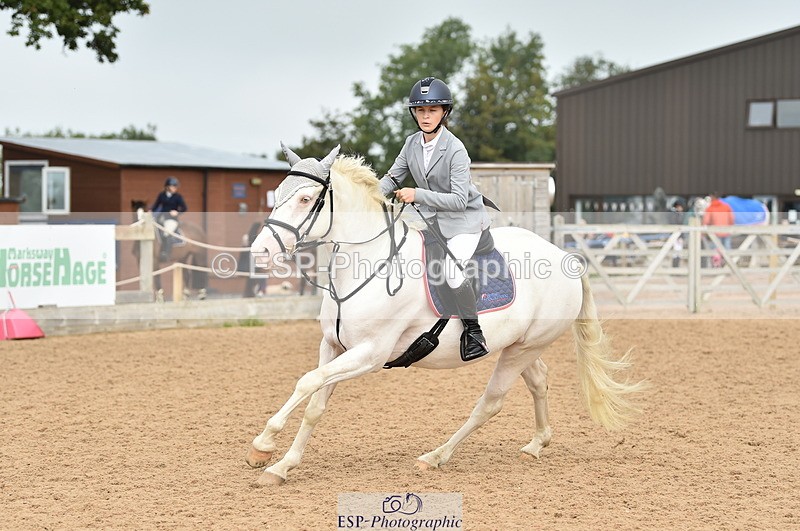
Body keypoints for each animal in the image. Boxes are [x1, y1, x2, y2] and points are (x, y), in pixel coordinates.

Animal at [246, 145, 647, 486]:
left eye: (305, 199)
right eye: (278, 192)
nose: (260, 251)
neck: (369, 263)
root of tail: (566, 258)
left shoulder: (370, 354)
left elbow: (307, 382)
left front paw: (263, 445)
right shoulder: (333, 346)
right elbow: (314, 402)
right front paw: (281, 467)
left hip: (523, 349)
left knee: (490, 403)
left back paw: (436, 456)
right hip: (519, 346)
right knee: (538, 382)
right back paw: (536, 445)